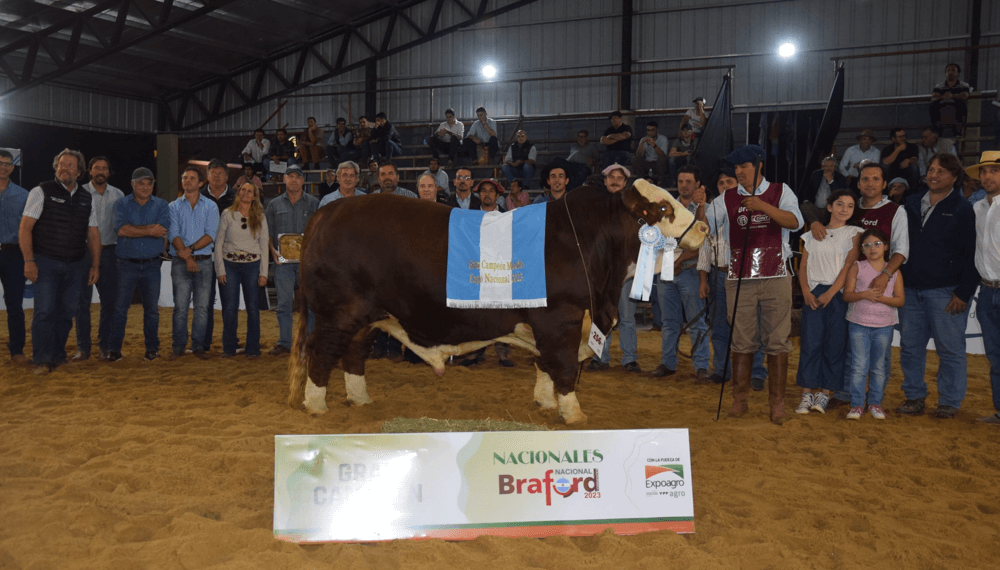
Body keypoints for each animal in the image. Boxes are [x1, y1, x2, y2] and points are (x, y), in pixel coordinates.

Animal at [288, 180, 712, 424]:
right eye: (663, 208)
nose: (705, 227)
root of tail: (327, 212)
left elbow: (545, 365)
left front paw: (545, 403)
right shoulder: (561, 319)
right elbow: (562, 366)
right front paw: (573, 412)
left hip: (368, 317)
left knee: (353, 354)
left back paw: (360, 399)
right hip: (337, 313)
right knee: (321, 351)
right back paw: (316, 405)